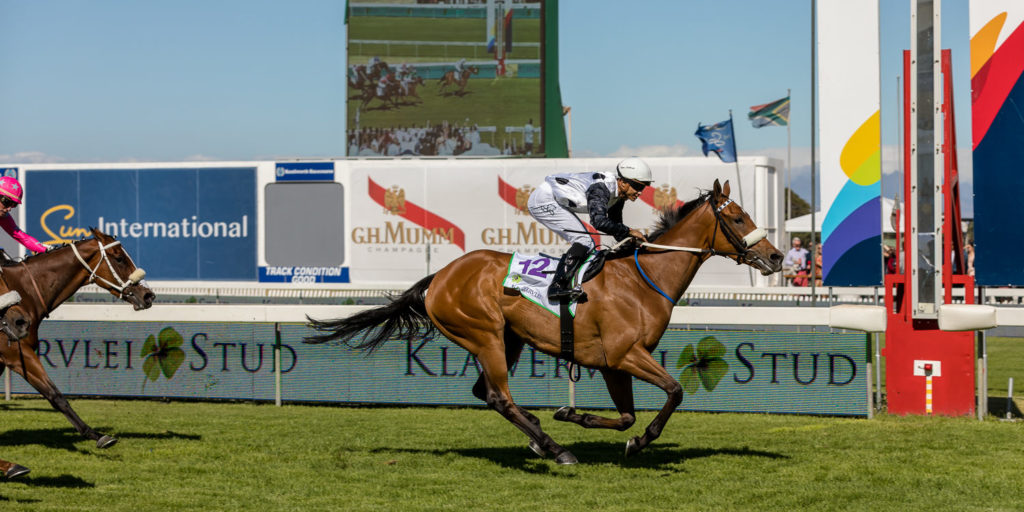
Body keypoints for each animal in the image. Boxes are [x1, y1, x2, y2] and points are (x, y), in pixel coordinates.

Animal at [0, 228, 155, 456]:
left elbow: (53, 394)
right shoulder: (17, 353)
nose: (148, 295)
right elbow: (55, 394)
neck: (25, 292)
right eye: (119, 258)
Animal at [305, 180, 782, 464]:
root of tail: (438, 277)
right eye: (736, 217)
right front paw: (638, 441)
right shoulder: (625, 354)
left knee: (486, 394)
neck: (643, 279)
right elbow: (675, 392)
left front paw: (576, 415)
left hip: (509, 339)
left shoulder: (612, 362)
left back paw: (538, 435)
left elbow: (627, 415)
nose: (776, 257)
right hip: (484, 336)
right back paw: (554, 448)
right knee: (498, 397)